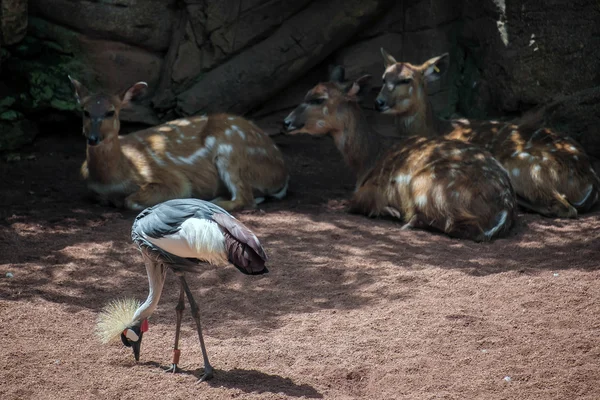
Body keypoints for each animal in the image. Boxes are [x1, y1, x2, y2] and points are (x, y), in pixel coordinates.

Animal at [69, 76, 290, 211]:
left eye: (111, 112)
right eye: (85, 111)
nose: (93, 138)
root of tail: (281, 172)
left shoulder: (172, 179)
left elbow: (130, 201)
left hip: (231, 150)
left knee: (244, 199)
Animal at [284, 66, 516, 241]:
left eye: (318, 99)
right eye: (307, 93)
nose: (286, 122)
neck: (368, 159)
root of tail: (505, 206)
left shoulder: (369, 190)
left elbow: (354, 203)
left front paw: (388, 210)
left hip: (427, 186)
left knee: (458, 226)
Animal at [376, 48, 600, 220]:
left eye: (406, 80)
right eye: (384, 77)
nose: (379, 102)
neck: (437, 129)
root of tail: (590, 181)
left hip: (524, 165)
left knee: (563, 206)